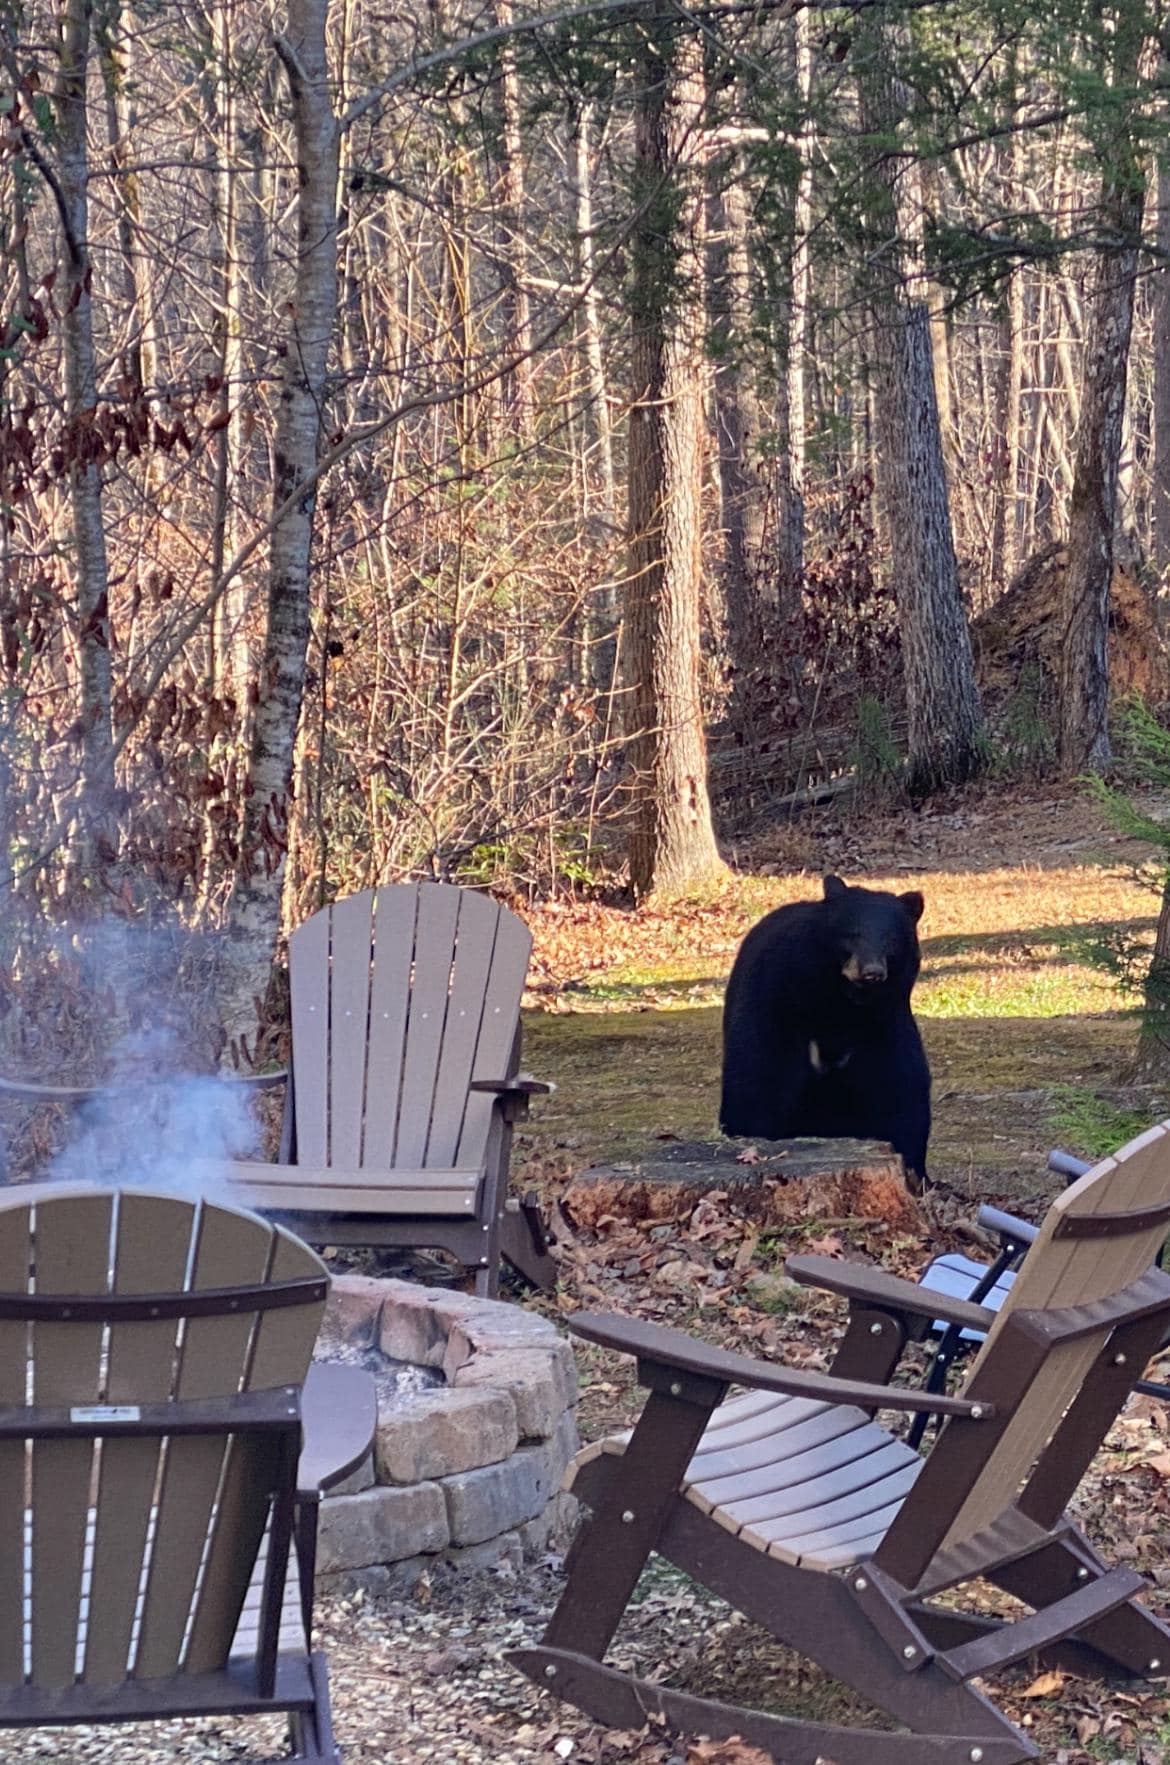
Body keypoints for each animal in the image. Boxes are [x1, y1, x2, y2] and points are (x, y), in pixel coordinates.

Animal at [719, 874, 931, 1183]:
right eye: (851, 934)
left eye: (891, 940)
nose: (872, 972)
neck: (839, 1006)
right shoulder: (777, 1005)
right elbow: (760, 1080)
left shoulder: (883, 1026)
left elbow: (900, 1091)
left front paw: (916, 1171)